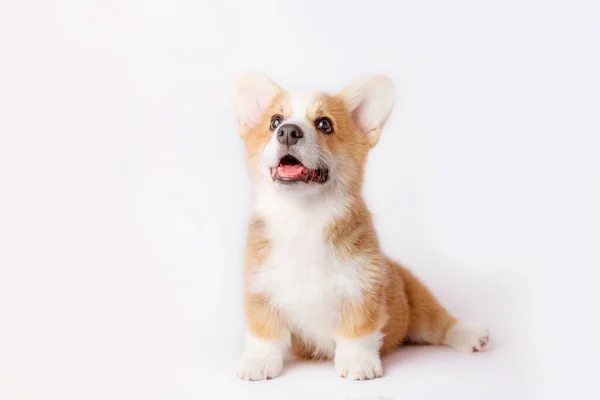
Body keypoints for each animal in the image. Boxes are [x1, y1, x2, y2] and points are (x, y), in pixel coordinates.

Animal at [232, 72, 490, 382]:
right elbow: (264, 333)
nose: (288, 132)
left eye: (324, 124)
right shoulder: (260, 289)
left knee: (441, 324)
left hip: (418, 300)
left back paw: (470, 334)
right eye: (274, 121)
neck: (303, 215)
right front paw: (258, 362)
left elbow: (357, 330)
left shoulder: (362, 288)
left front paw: (358, 363)